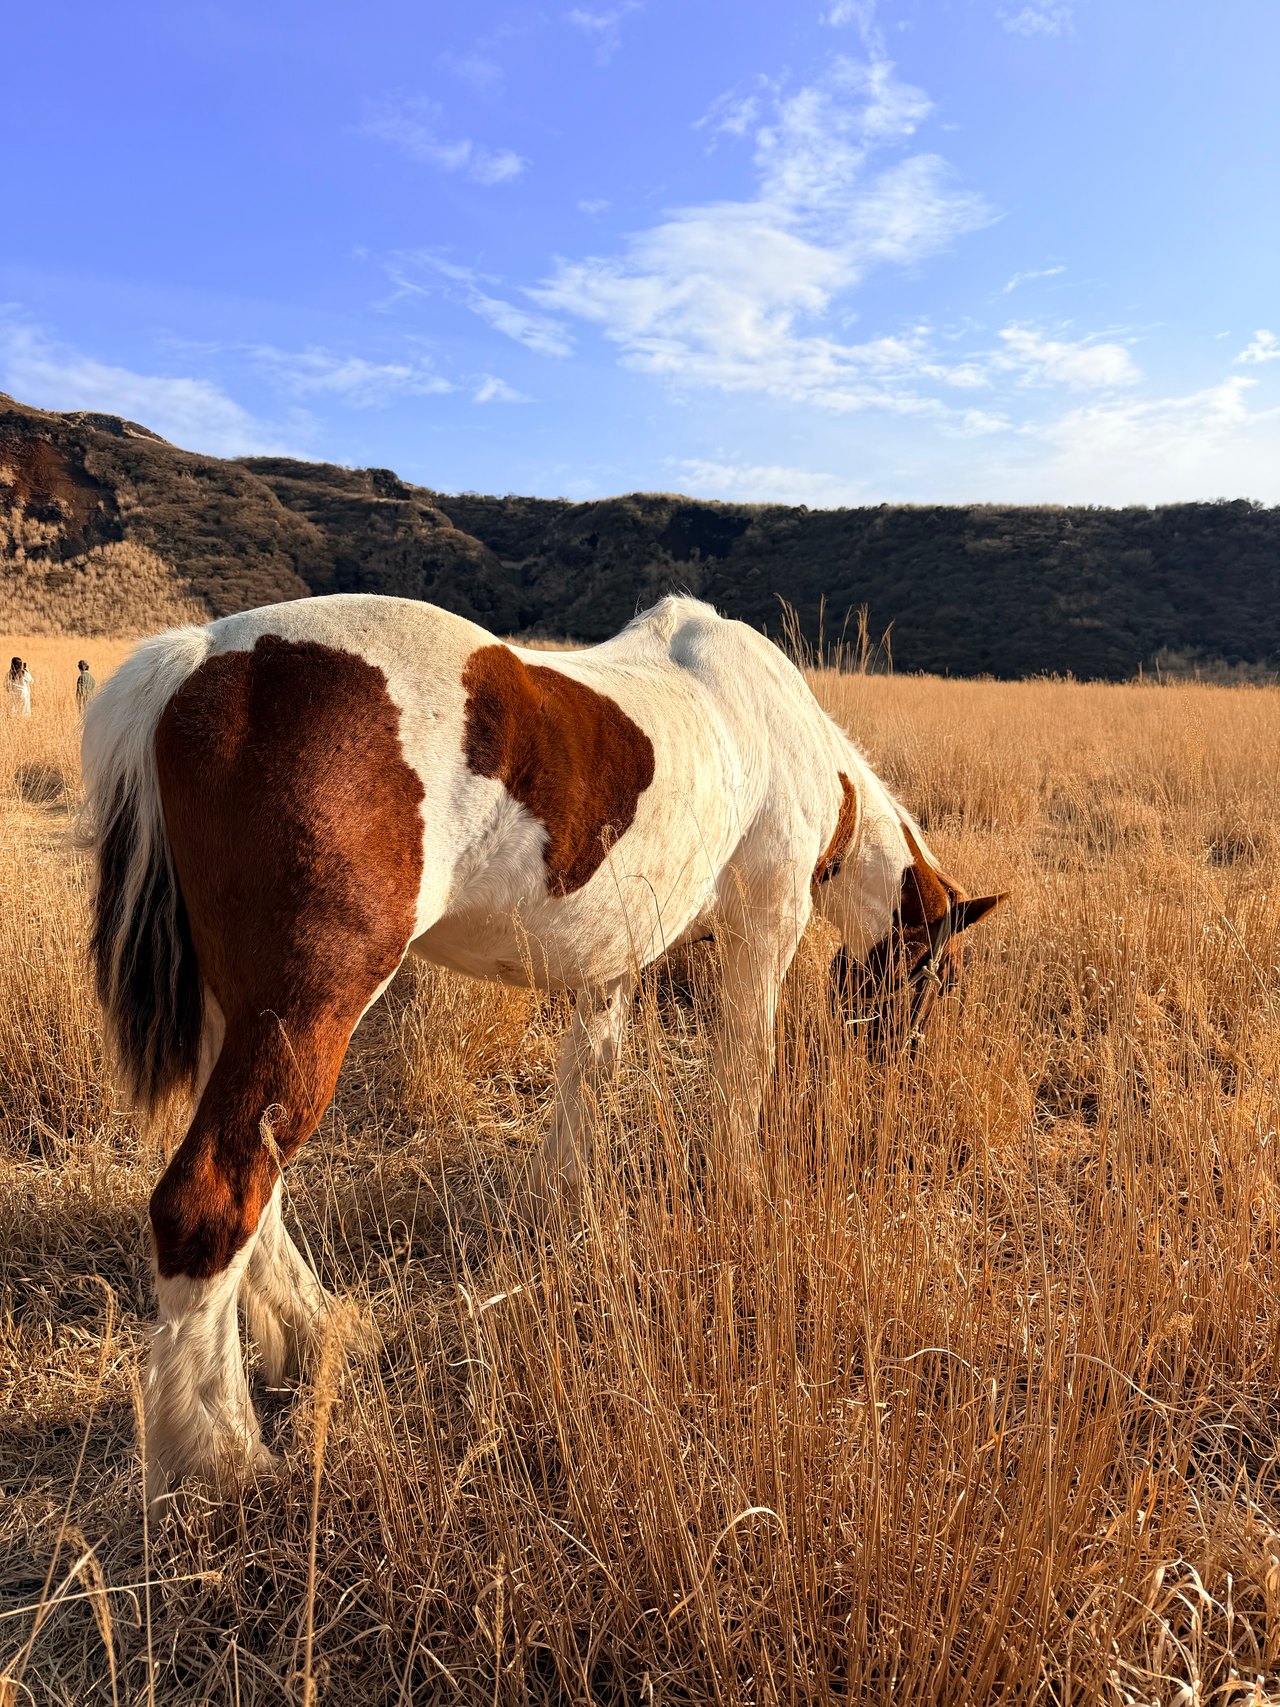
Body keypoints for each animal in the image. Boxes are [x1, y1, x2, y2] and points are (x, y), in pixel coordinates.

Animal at [81, 592, 1003, 1502]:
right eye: (946, 977)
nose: (901, 1060)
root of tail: (201, 659)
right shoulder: (763, 933)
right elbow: (743, 1070)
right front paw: (739, 1190)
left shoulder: (614, 961)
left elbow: (587, 1076)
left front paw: (562, 1201)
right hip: (306, 1011)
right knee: (213, 1196)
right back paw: (224, 1451)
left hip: (237, 1020)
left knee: (261, 1189)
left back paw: (319, 1330)